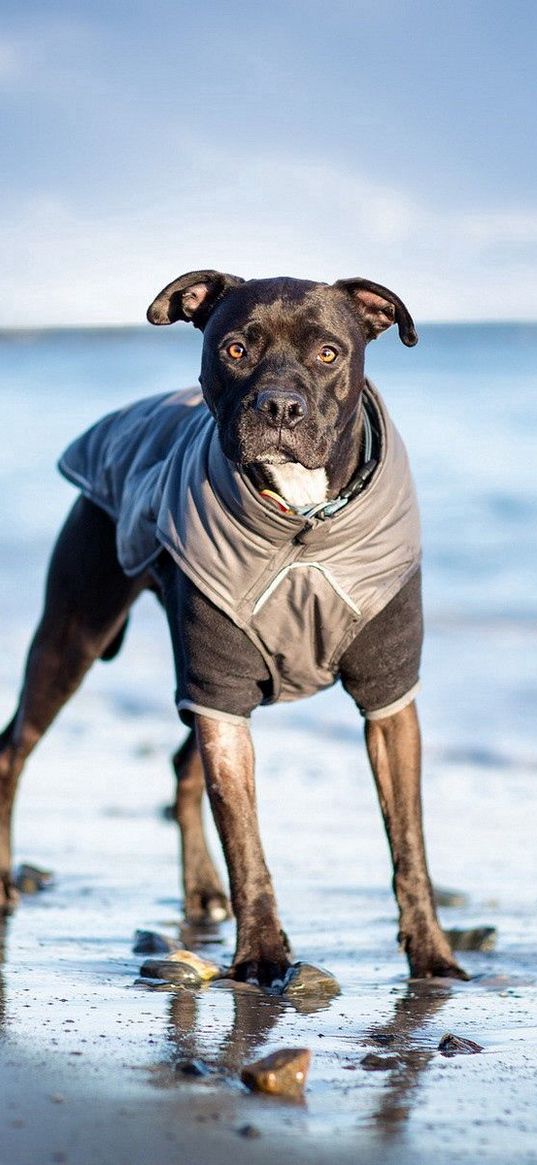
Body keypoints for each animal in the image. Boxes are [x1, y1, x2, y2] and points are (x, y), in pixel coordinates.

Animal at [0, 270, 463, 983]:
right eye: (236, 350)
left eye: (328, 353)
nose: (279, 409)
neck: (303, 529)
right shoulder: (219, 690)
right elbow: (245, 840)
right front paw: (263, 957)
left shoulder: (387, 697)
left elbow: (409, 844)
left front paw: (433, 955)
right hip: (73, 639)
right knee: (12, 752)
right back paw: (6, 884)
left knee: (180, 768)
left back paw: (200, 894)